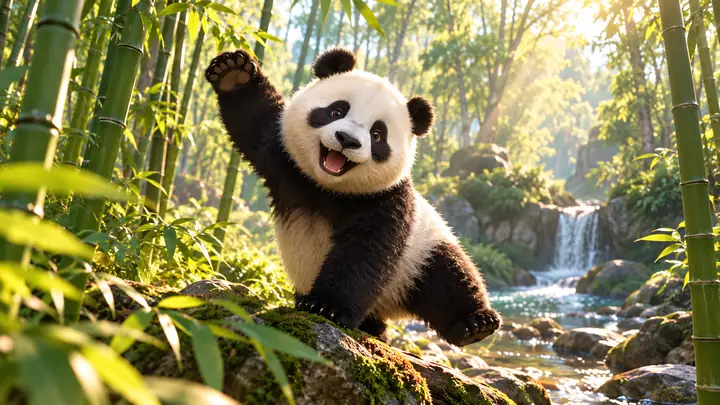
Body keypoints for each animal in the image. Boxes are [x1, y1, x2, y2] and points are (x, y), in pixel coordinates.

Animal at [205, 47, 501, 346]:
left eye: (377, 134)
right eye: (336, 110)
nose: (347, 139)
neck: (326, 187)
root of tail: (387, 308)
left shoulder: (385, 199)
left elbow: (365, 252)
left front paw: (326, 306)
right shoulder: (285, 159)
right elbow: (255, 123)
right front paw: (234, 73)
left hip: (419, 254)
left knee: (448, 277)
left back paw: (475, 324)